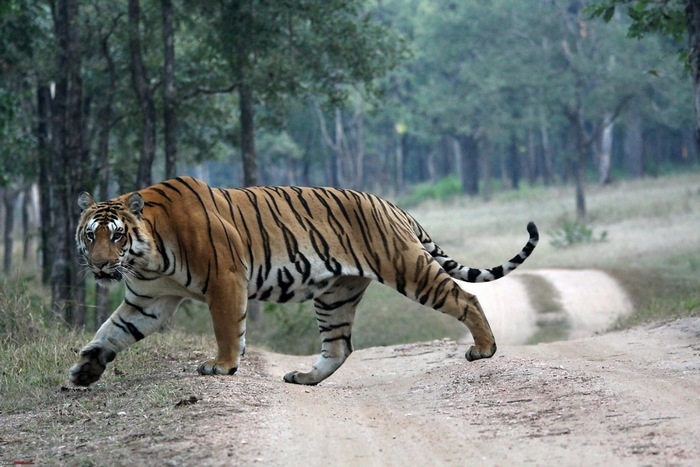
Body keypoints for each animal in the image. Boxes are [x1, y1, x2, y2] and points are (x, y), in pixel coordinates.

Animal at [69, 176, 538, 387]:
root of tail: (392, 205)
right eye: (91, 235)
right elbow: (110, 331)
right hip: (335, 296)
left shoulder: (225, 279)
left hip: (407, 268)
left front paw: (222, 365)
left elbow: (226, 329)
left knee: (466, 298)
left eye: (117, 236)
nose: (101, 265)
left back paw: (484, 349)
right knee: (339, 347)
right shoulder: (147, 301)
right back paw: (304, 377)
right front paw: (85, 368)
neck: (147, 258)